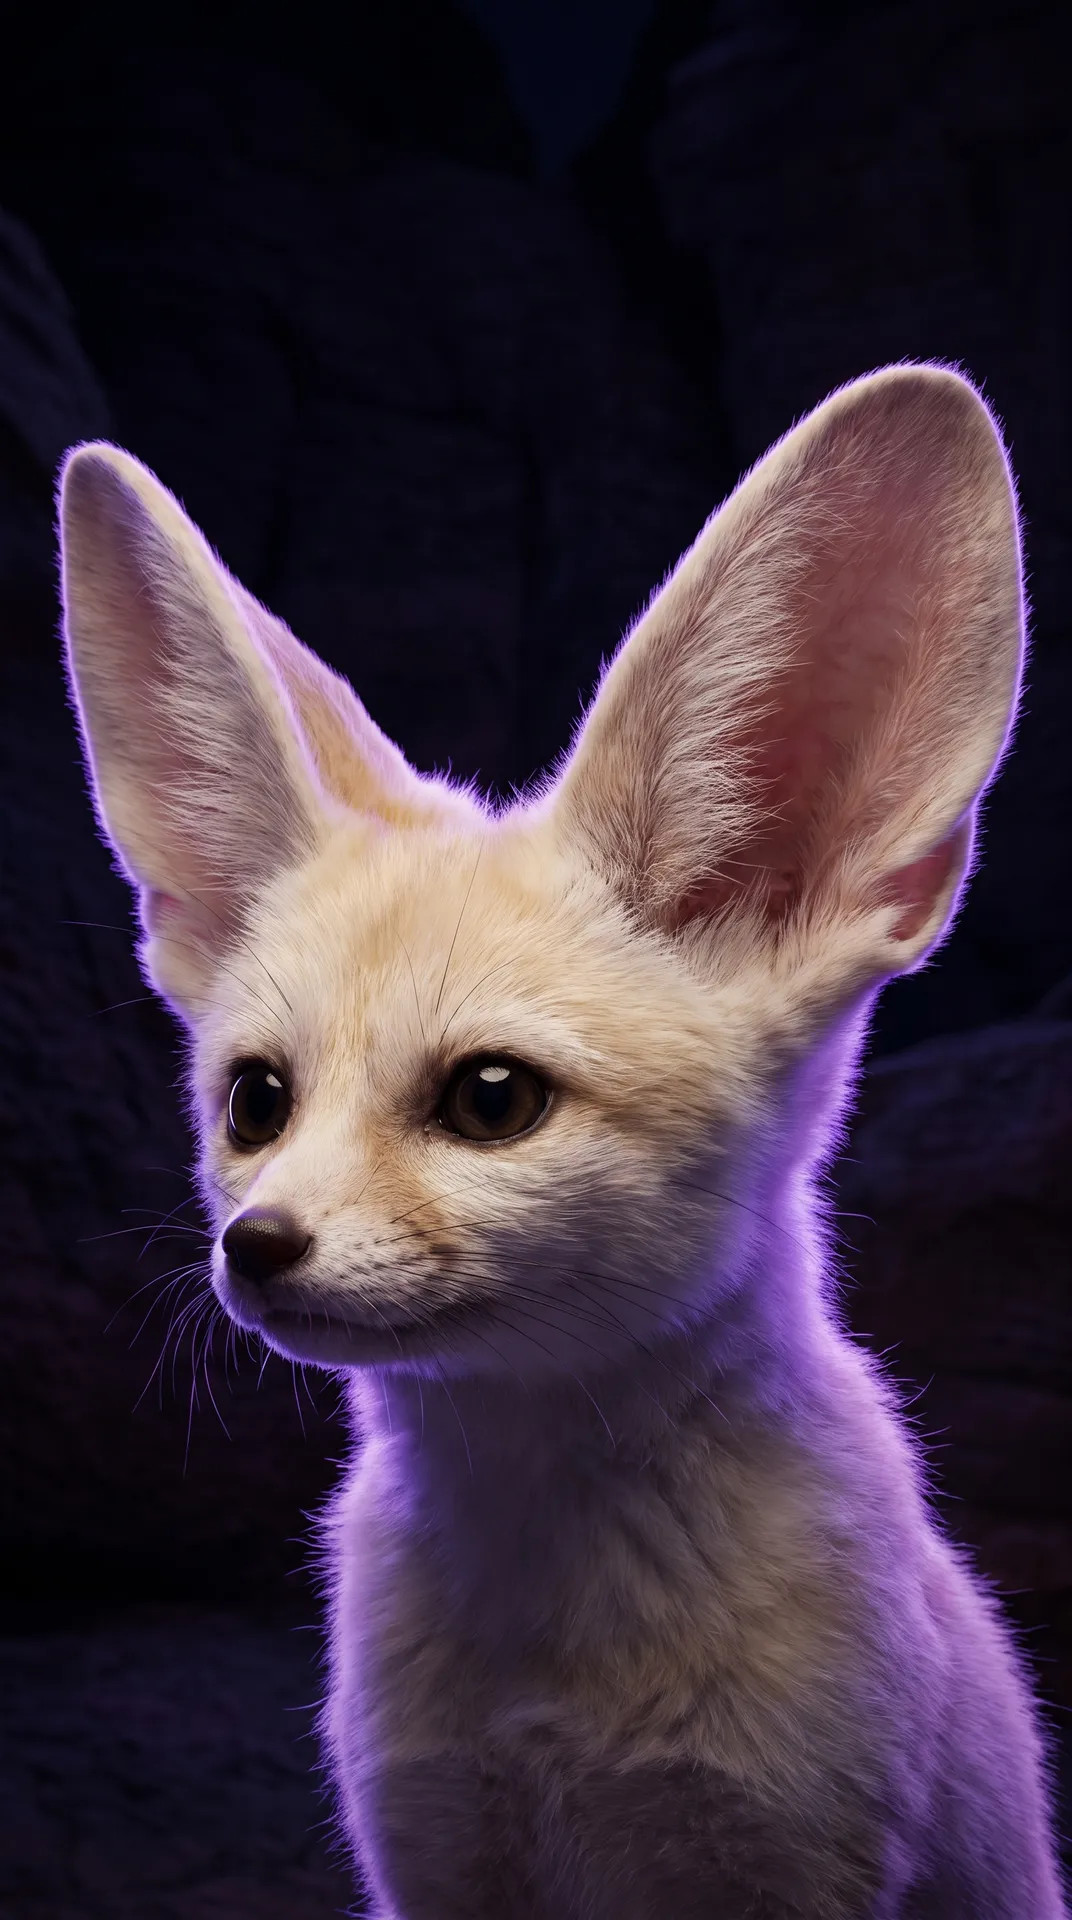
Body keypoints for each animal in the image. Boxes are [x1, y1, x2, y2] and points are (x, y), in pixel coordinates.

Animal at [59, 364, 1066, 1917]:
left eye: (491, 1099)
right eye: (256, 1103)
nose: (253, 1246)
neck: (553, 1668)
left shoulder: (798, 1862)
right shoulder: (432, 1856)